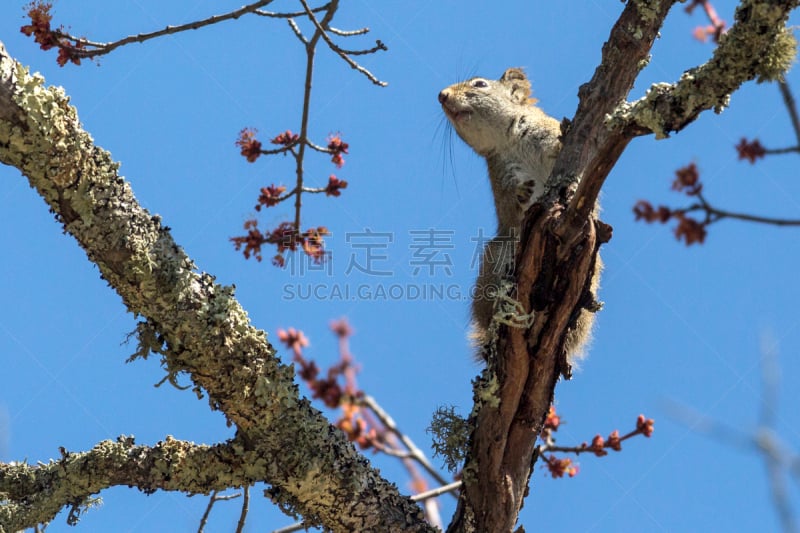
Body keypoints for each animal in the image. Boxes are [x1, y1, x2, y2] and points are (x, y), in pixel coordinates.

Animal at [438, 67, 600, 362]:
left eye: (480, 84)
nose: (442, 95)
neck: (510, 139)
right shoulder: (500, 175)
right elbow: (510, 205)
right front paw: (522, 193)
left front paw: (564, 136)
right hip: (497, 257)